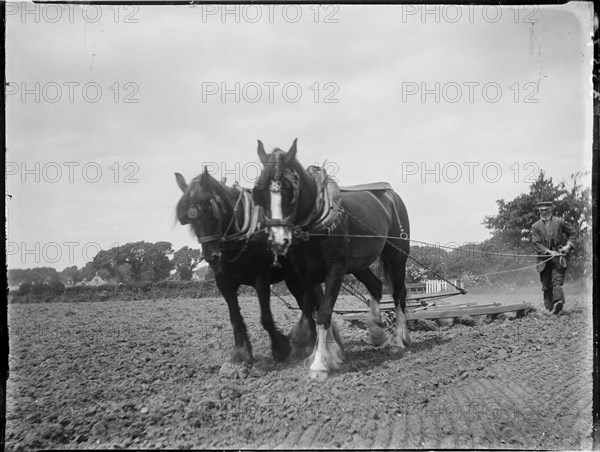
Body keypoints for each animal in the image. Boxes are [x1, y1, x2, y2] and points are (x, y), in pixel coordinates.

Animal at [173, 168, 314, 366]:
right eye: (189, 219)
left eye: (211, 209)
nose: (212, 257)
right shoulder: (224, 284)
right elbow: (235, 318)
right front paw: (241, 354)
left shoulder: (260, 280)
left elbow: (266, 318)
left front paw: (281, 349)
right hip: (291, 278)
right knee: (305, 303)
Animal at [253, 139, 412, 380]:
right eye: (259, 191)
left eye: (290, 189)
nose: (278, 239)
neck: (314, 224)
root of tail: (393, 195)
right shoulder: (305, 274)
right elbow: (315, 308)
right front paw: (327, 354)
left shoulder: (335, 270)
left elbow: (324, 313)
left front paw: (319, 364)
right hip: (358, 263)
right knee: (375, 286)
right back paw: (376, 331)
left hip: (397, 255)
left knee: (399, 293)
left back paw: (397, 341)